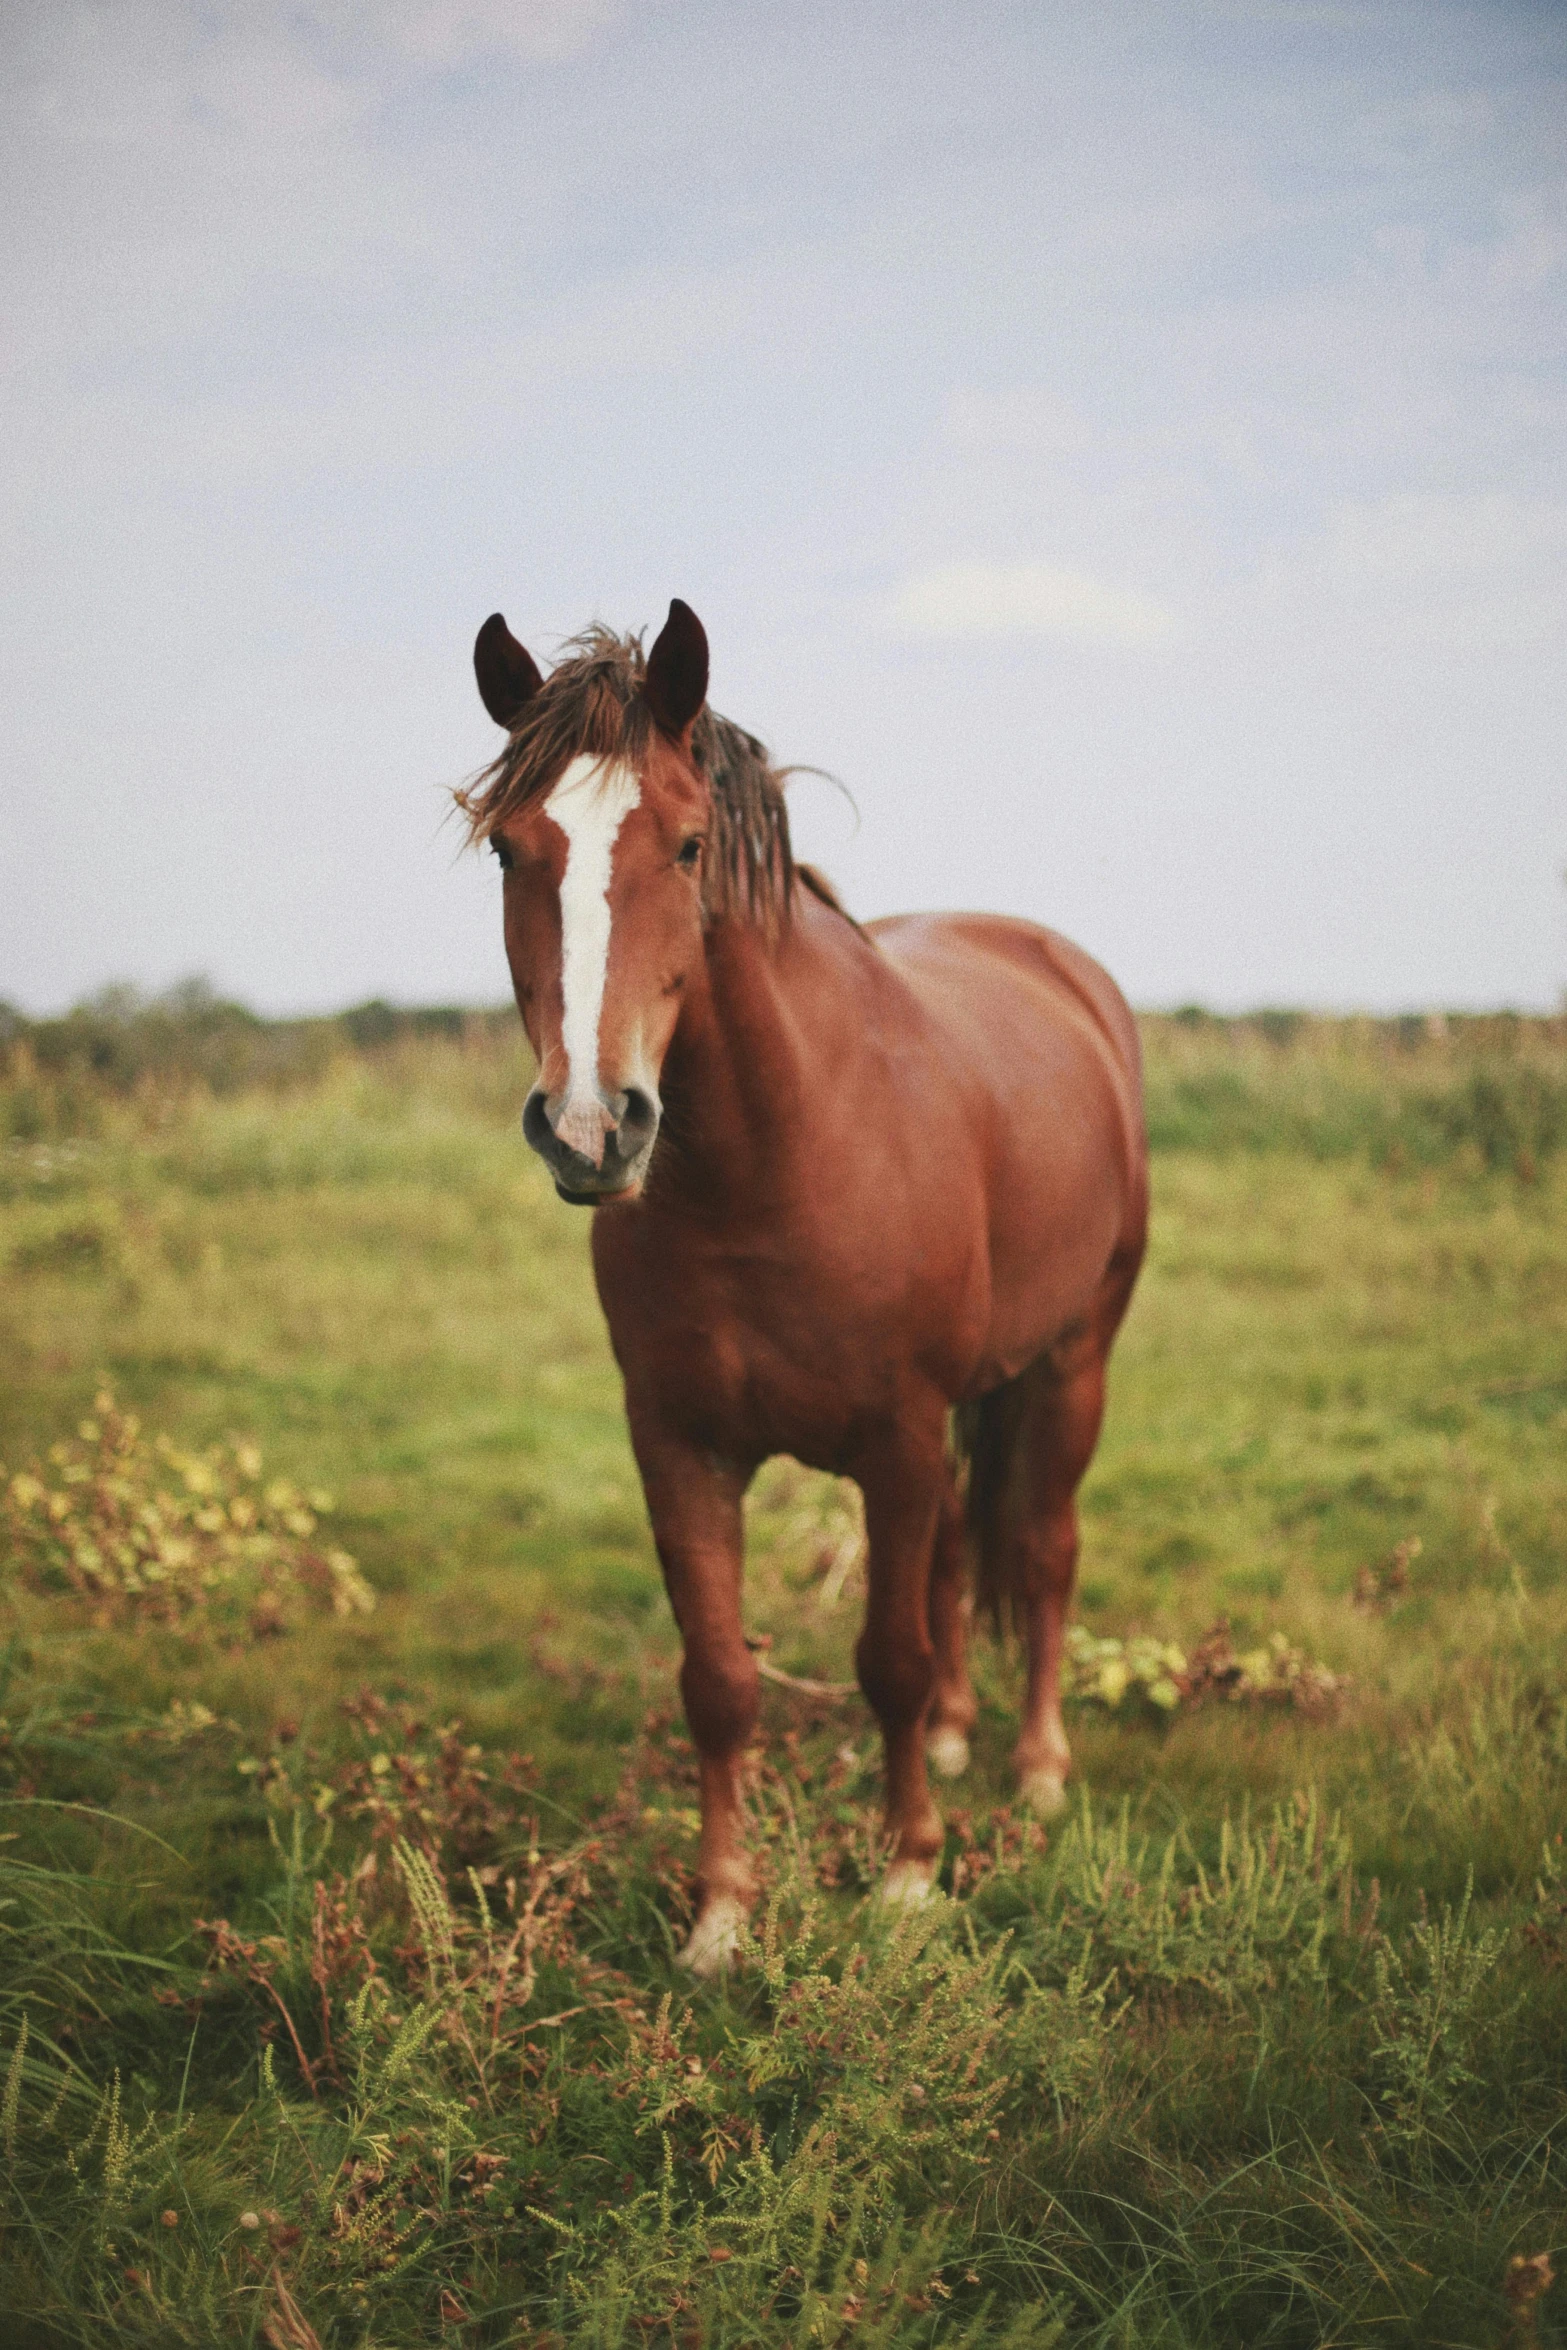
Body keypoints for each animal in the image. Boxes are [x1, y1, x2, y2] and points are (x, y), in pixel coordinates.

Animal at [460, 601, 1146, 1964]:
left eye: (685, 845)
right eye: (511, 848)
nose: (589, 1128)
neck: (776, 1168)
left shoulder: (895, 1437)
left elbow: (886, 1653)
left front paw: (908, 1875)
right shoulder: (680, 1445)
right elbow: (719, 1678)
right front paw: (722, 1915)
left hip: (1070, 1361)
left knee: (1042, 1551)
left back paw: (1037, 1768)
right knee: (957, 1562)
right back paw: (957, 1736)